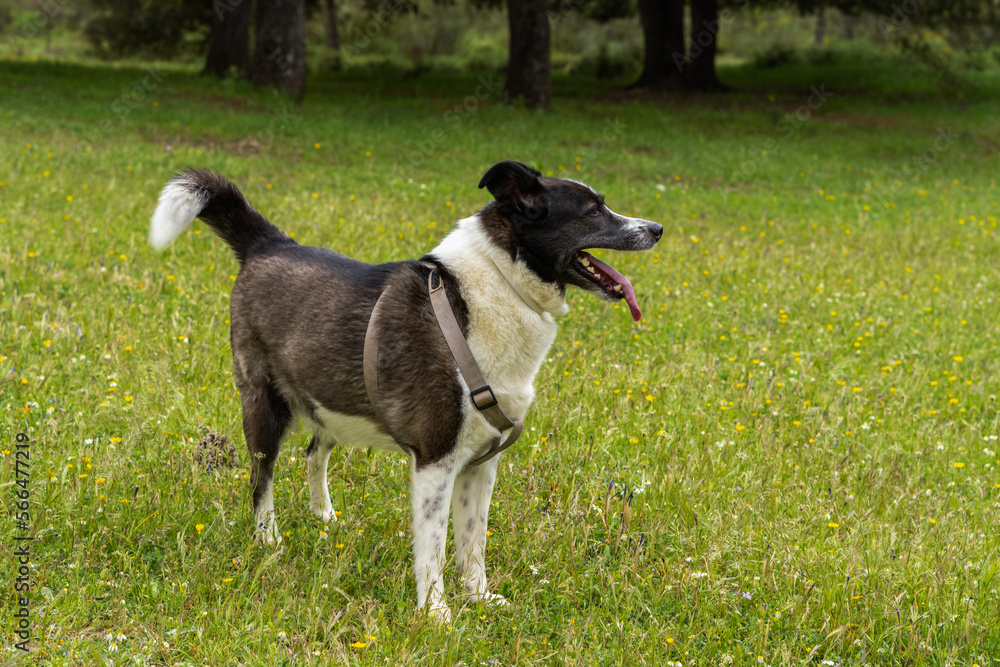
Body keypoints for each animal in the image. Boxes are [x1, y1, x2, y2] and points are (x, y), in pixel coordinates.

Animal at [148, 162, 660, 620]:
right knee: (261, 478)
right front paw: (435, 613)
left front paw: (478, 598)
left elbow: (473, 541)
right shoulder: (435, 461)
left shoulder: (482, 464)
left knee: (314, 452)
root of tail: (270, 244)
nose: (656, 228)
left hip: (330, 397)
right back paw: (267, 538)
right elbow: (433, 548)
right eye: (593, 211)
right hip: (263, 404)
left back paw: (323, 515)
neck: (496, 285)